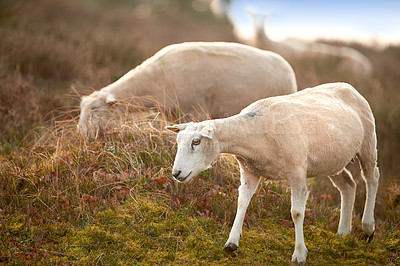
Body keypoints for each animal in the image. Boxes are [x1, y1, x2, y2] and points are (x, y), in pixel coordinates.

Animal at [166, 82, 378, 264]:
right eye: (178, 142)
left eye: (196, 142)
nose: (176, 173)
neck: (253, 133)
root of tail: (347, 86)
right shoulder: (249, 171)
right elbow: (242, 202)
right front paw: (231, 242)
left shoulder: (297, 170)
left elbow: (297, 213)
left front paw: (299, 254)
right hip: (332, 160)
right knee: (348, 185)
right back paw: (343, 232)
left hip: (368, 142)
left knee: (372, 178)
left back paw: (368, 227)